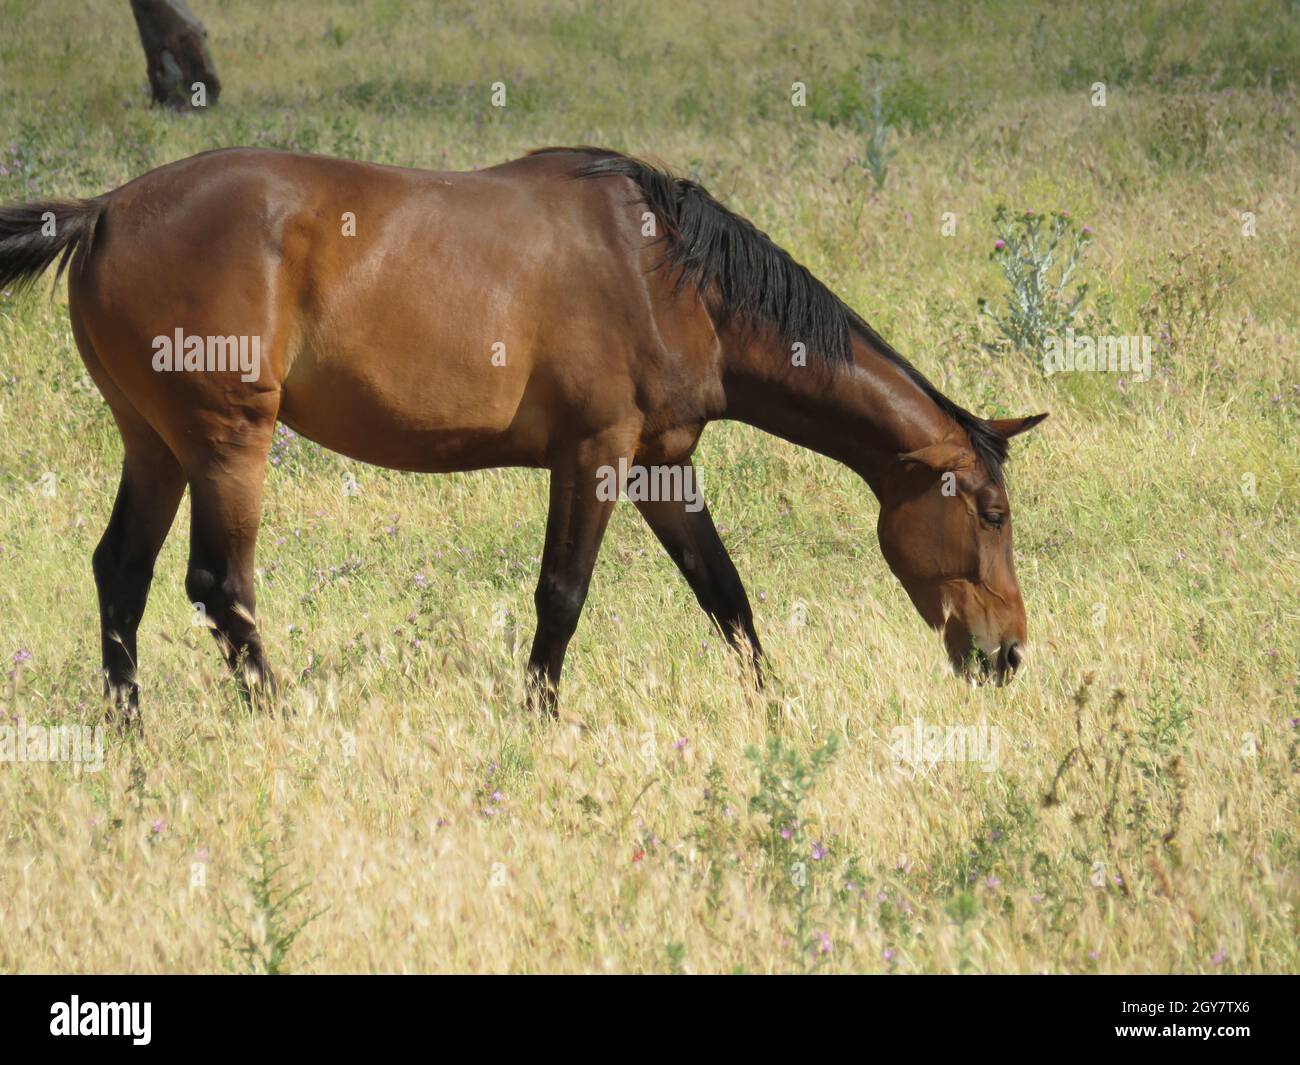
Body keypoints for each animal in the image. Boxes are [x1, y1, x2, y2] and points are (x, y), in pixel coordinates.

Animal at [0, 147, 1045, 717]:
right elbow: (562, 597)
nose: (1007, 654)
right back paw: (280, 717)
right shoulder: (594, 455)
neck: (672, 276)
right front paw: (536, 718)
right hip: (226, 445)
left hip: (155, 446)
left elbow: (726, 596)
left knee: (122, 575)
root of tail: (103, 212)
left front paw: (775, 707)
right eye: (991, 513)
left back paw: (127, 731)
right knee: (221, 589)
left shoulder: (663, 467)